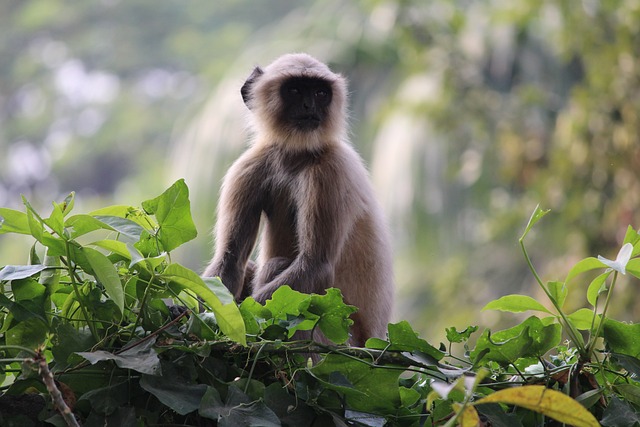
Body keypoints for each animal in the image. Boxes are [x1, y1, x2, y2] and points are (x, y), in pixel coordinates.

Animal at [205, 53, 396, 348]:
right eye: (294, 90)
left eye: (320, 93)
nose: (309, 105)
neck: (296, 156)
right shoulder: (248, 168)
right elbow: (230, 258)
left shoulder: (332, 171)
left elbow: (315, 265)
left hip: (337, 335)